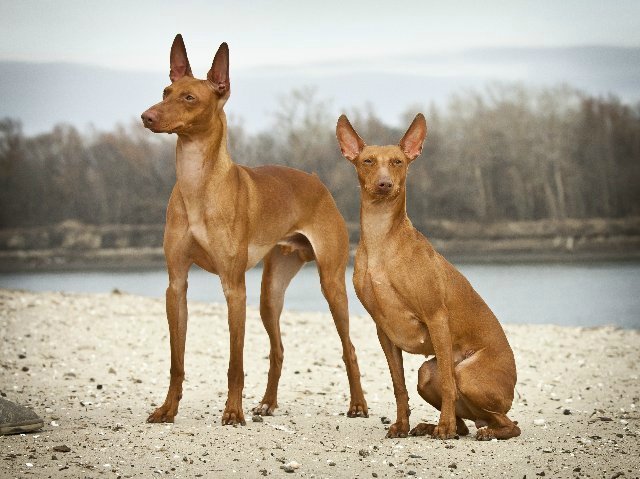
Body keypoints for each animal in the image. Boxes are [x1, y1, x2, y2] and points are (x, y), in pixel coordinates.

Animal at [142, 37, 368, 426]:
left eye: (189, 98)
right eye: (165, 91)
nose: (146, 116)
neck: (198, 186)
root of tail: (315, 180)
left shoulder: (234, 288)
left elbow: (236, 363)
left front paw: (233, 411)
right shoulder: (177, 285)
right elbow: (176, 361)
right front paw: (168, 408)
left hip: (332, 284)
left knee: (349, 348)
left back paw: (357, 405)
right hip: (269, 294)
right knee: (278, 349)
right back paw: (267, 402)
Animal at [336, 113, 520, 442]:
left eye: (397, 162)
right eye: (368, 161)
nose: (384, 184)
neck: (382, 240)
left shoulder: (437, 319)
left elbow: (448, 383)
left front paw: (444, 428)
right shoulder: (384, 331)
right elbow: (398, 386)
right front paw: (401, 425)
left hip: (468, 374)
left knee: (506, 422)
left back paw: (478, 430)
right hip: (425, 372)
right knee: (466, 421)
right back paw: (430, 426)